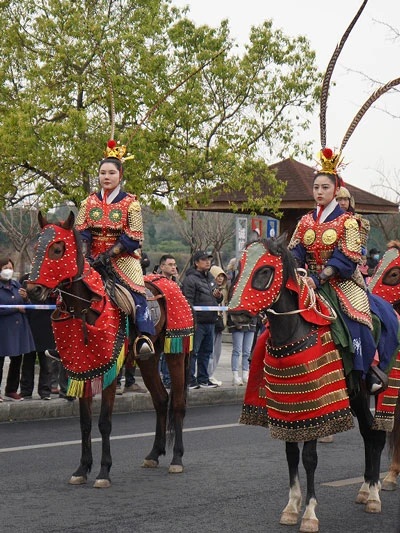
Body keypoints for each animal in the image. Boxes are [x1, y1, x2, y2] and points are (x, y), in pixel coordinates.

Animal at [26, 210, 192, 484]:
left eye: (58, 248)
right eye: (36, 246)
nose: (33, 290)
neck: (86, 307)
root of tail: (169, 281)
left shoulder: (111, 369)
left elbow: (104, 421)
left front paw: (104, 471)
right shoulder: (81, 367)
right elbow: (84, 422)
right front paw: (82, 469)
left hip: (175, 352)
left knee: (177, 403)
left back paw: (177, 459)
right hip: (148, 358)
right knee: (161, 399)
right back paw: (154, 454)